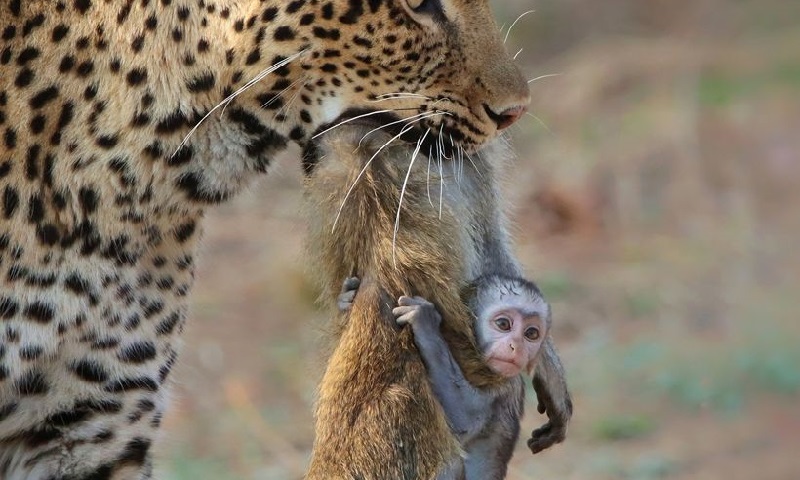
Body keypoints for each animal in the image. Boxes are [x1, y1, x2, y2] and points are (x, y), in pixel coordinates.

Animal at [340, 274, 552, 480]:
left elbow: (462, 421)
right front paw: (346, 298)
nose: (517, 347)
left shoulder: (506, 385)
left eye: (531, 333)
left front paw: (426, 326)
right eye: (503, 324)